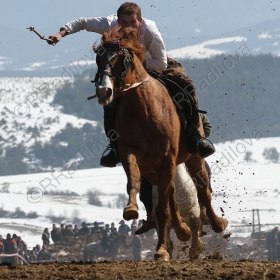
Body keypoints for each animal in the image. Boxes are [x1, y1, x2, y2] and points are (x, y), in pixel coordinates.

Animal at [94, 27, 228, 260]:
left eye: (123, 60)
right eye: (98, 59)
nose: (104, 91)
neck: (145, 110)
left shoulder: (168, 158)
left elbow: (164, 209)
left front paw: (162, 251)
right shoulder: (131, 154)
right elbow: (135, 183)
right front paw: (131, 209)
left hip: (193, 157)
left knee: (202, 190)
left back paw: (216, 224)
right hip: (155, 169)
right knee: (171, 194)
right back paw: (182, 229)